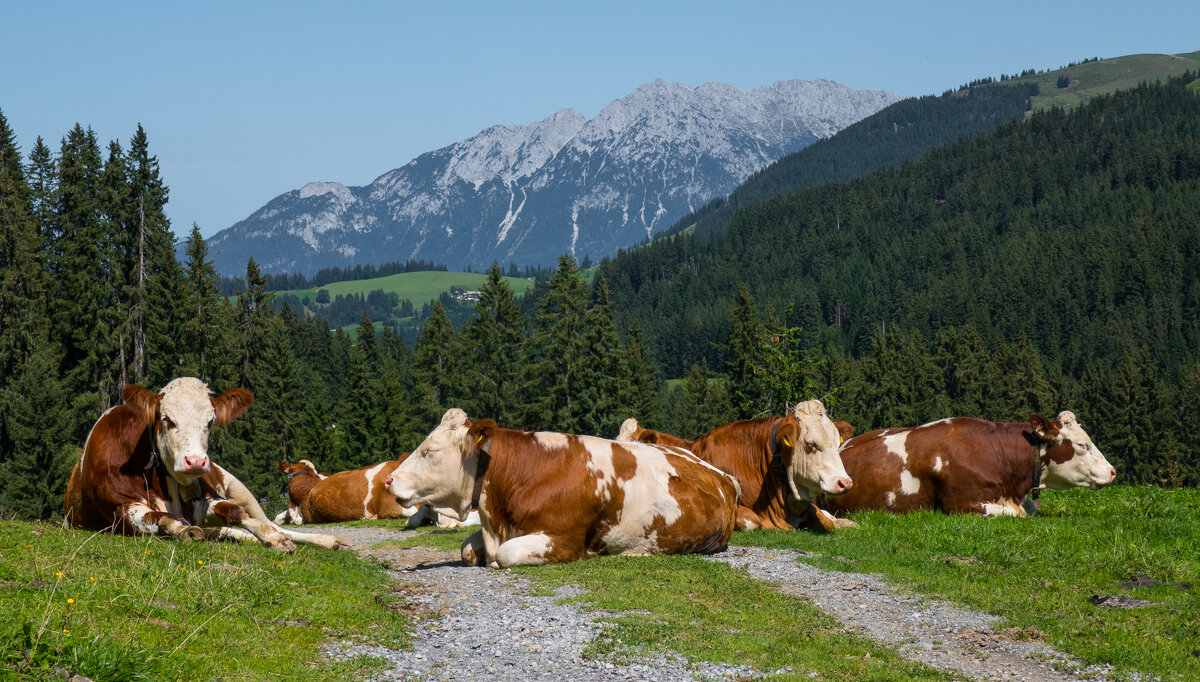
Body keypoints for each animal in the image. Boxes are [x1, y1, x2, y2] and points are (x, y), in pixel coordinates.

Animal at [63, 379, 350, 554]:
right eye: (167, 419)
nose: (197, 462)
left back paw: (327, 541)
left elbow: (234, 512)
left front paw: (274, 539)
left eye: (210, 422)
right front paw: (183, 530)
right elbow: (164, 518)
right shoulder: (119, 510)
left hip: (239, 487)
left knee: (270, 522)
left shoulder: (204, 501)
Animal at [384, 408, 739, 566]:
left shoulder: (564, 541)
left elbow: (507, 555)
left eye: (430, 450)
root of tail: (722, 475)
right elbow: (467, 549)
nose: (389, 480)